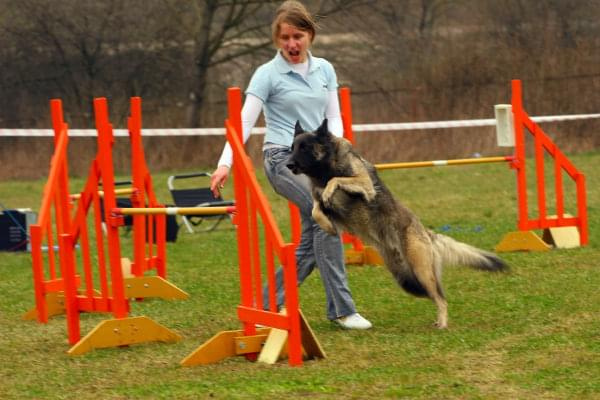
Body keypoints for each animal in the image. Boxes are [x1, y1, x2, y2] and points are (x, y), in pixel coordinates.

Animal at [286, 119, 506, 328]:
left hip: (421, 272)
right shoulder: (318, 199)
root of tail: (425, 232)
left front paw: (329, 192)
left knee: (441, 298)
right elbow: (315, 210)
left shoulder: (364, 184)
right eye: (292, 147)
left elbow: (336, 181)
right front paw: (328, 225)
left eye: (304, 148)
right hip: (408, 280)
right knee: (435, 296)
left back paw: (442, 323)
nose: (288, 164)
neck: (325, 167)